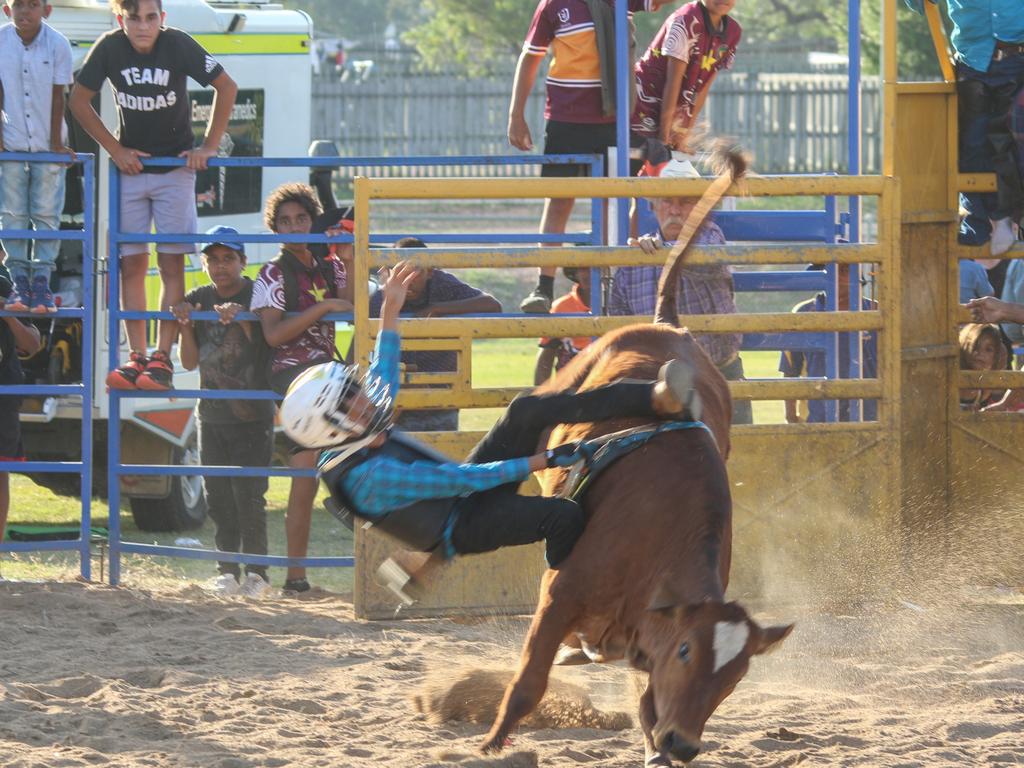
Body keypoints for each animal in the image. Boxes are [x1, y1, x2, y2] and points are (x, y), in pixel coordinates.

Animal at [479, 148, 790, 765]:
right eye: (688, 652)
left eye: (737, 677)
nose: (686, 743)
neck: (655, 543)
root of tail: (667, 323)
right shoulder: (558, 597)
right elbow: (528, 683)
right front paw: (492, 742)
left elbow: (648, 704)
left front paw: (657, 746)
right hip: (569, 380)